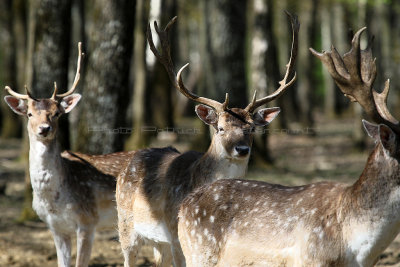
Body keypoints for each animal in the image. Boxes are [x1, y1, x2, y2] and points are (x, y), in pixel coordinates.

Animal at [115, 14, 296, 267]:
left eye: (251, 128)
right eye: (220, 128)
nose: (242, 149)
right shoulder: (176, 234)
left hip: (159, 241)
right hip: (126, 223)